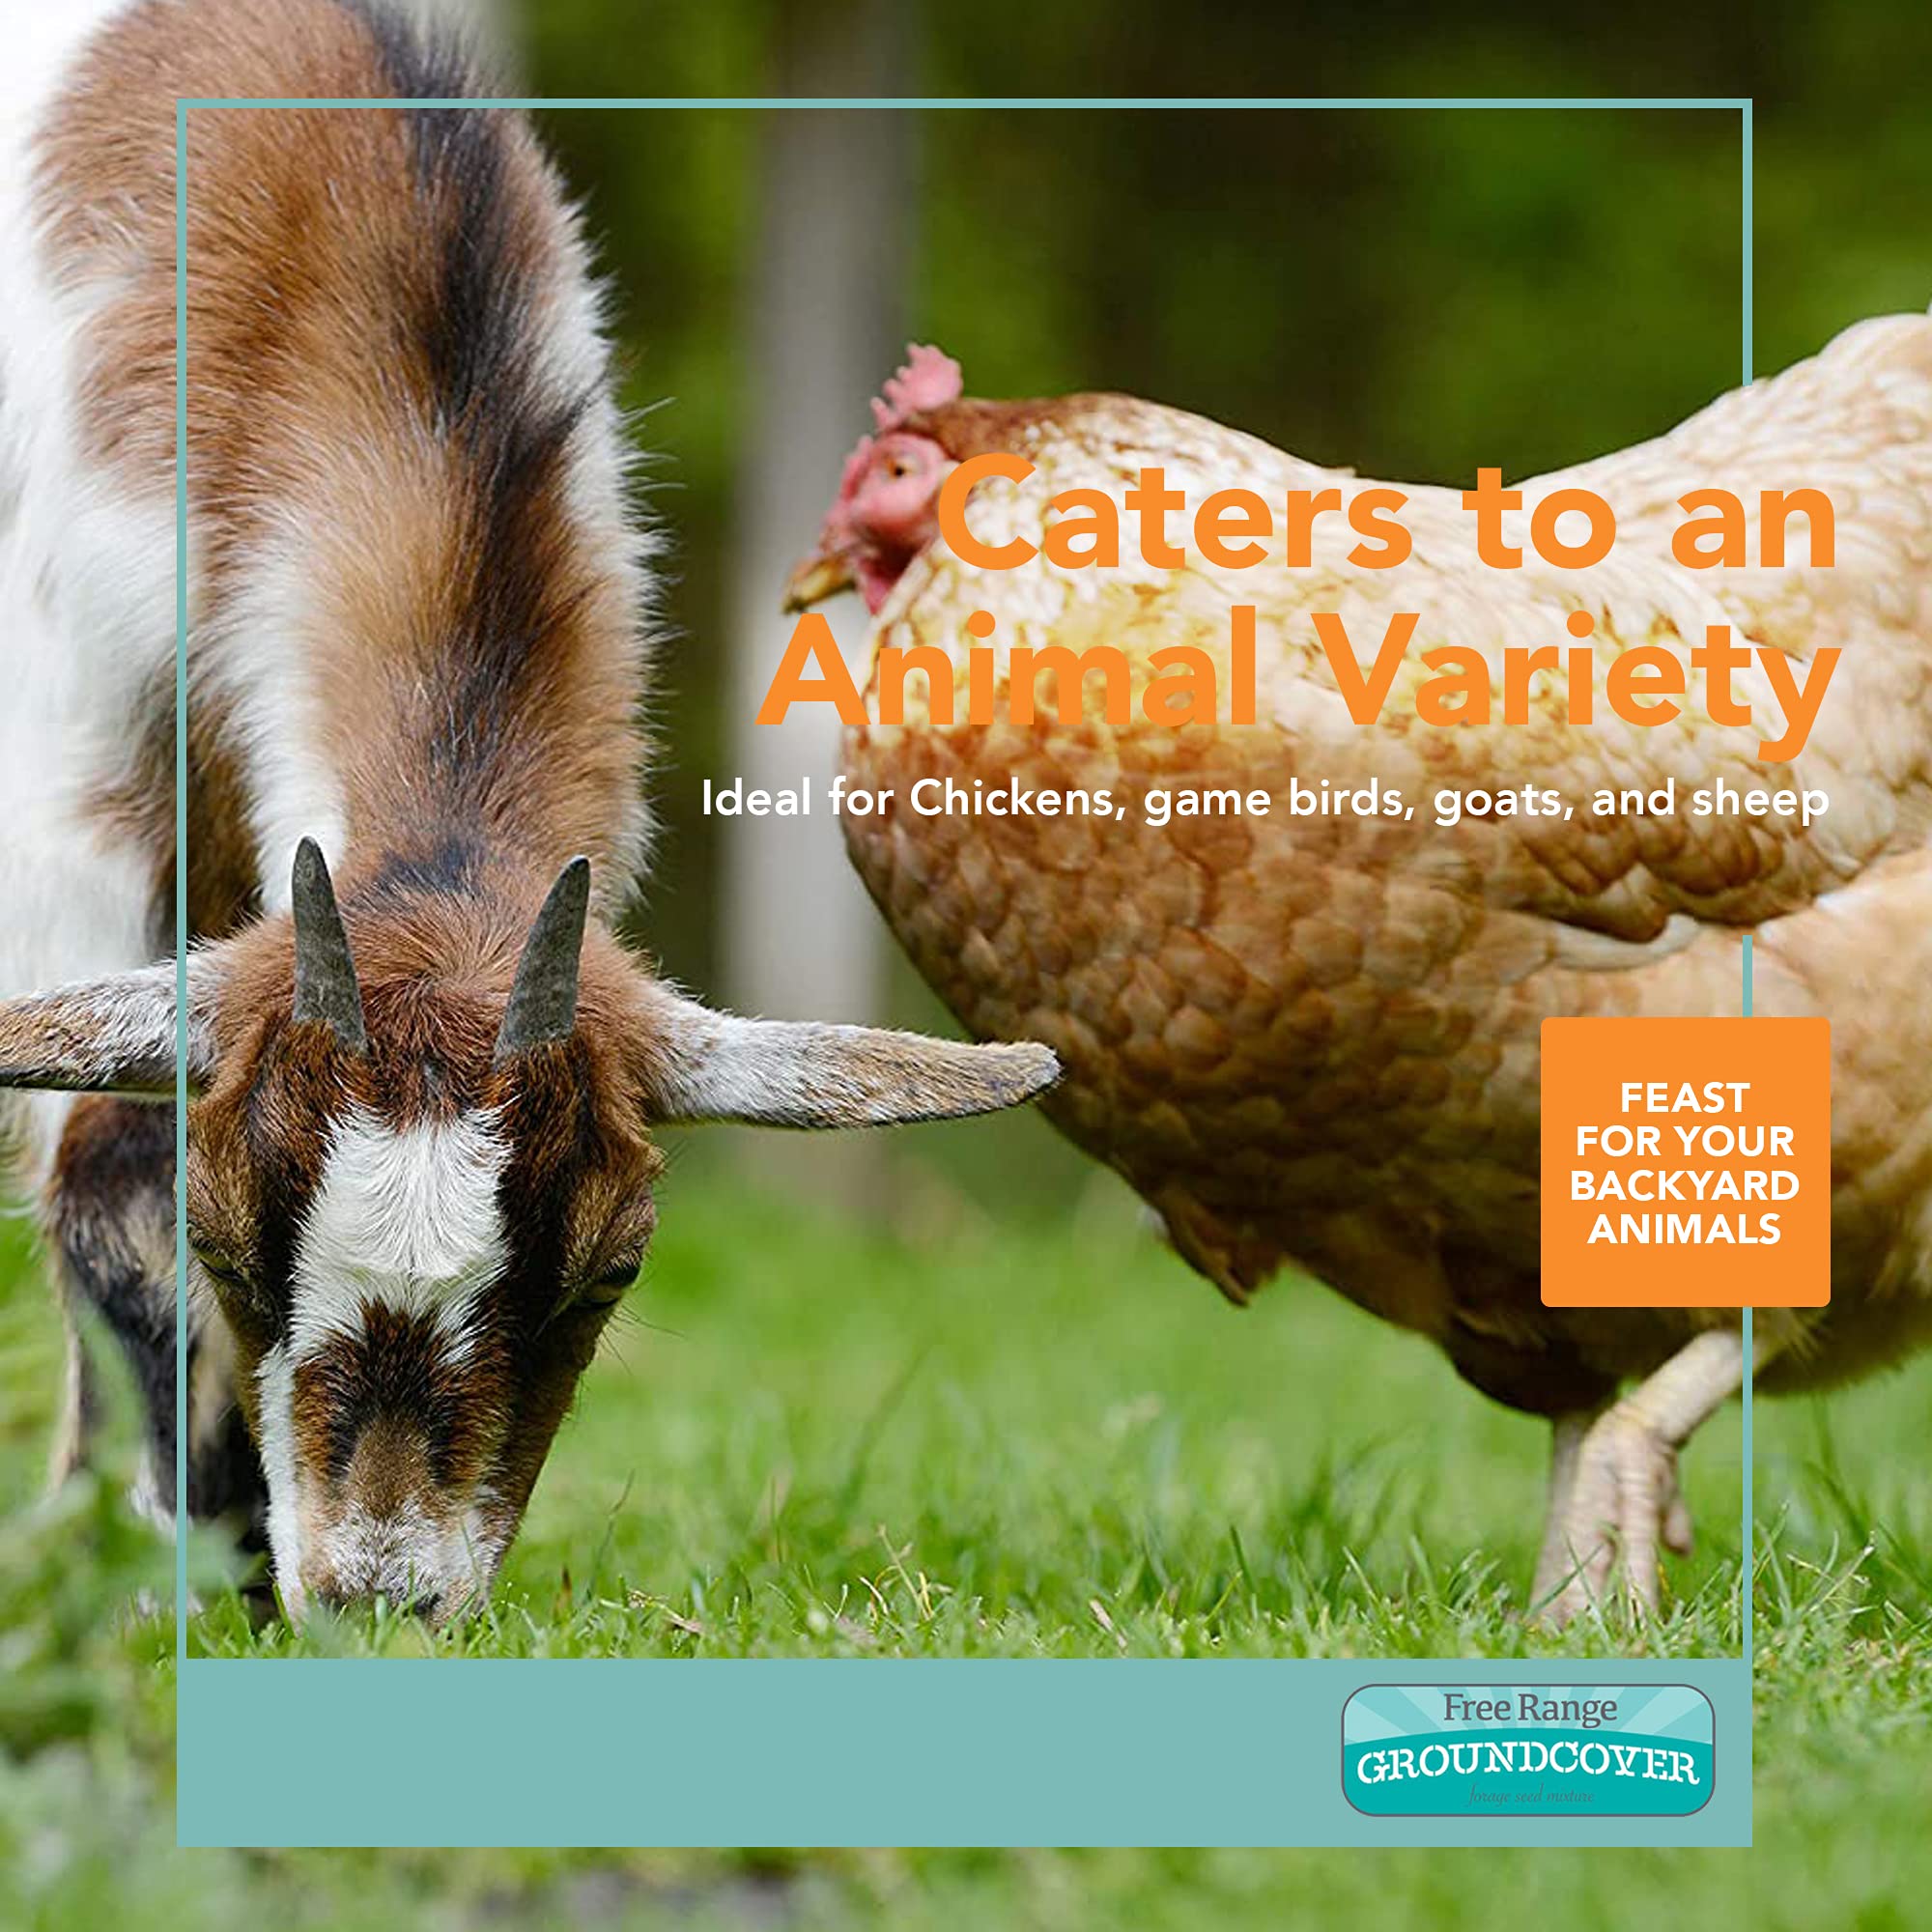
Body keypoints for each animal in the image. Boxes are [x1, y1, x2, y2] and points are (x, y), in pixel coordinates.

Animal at [0, 0, 1056, 1621]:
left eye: (609, 1269)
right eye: (228, 1241)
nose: (380, 1598)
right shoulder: (78, 781)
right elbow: (101, 1163)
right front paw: (124, 1580)